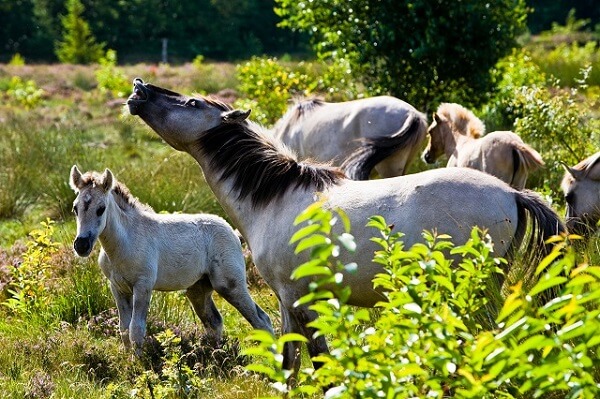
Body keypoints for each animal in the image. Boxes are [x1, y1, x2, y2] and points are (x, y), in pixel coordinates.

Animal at [69, 166, 274, 356]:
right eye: (75, 208)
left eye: (101, 209)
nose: (81, 245)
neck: (124, 242)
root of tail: (233, 232)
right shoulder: (117, 287)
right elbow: (124, 329)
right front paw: (127, 360)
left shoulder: (143, 285)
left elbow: (136, 329)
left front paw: (139, 364)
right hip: (198, 289)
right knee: (214, 322)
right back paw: (214, 355)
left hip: (230, 285)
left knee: (262, 320)